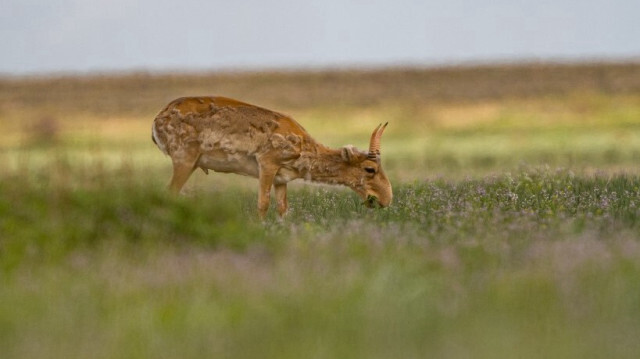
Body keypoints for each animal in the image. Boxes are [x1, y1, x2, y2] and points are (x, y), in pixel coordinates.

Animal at [151, 96, 390, 219]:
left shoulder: (281, 179)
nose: (387, 199)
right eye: (370, 169)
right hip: (184, 161)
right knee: (169, 193)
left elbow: (283, 208)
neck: (301, 146)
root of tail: (158, 118)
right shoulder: (267, 165)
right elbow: (262, 203)